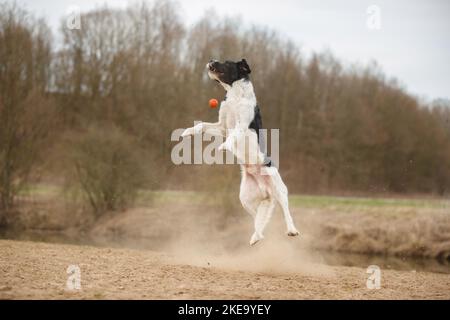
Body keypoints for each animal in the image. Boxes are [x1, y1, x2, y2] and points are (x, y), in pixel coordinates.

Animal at [181, 59, 300, 245]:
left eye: (226, 63)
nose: (211, 60)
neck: (235, 94)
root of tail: (265, 190)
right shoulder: (222, 127)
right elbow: (202, 126)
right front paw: (188, 132)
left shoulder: (241, 125)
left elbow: (233, 136)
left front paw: (225, 147)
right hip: (245, 199)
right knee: (257, 218)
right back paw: (256, 237)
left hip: (279, 188)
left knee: (286, 211)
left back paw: (291, 230)